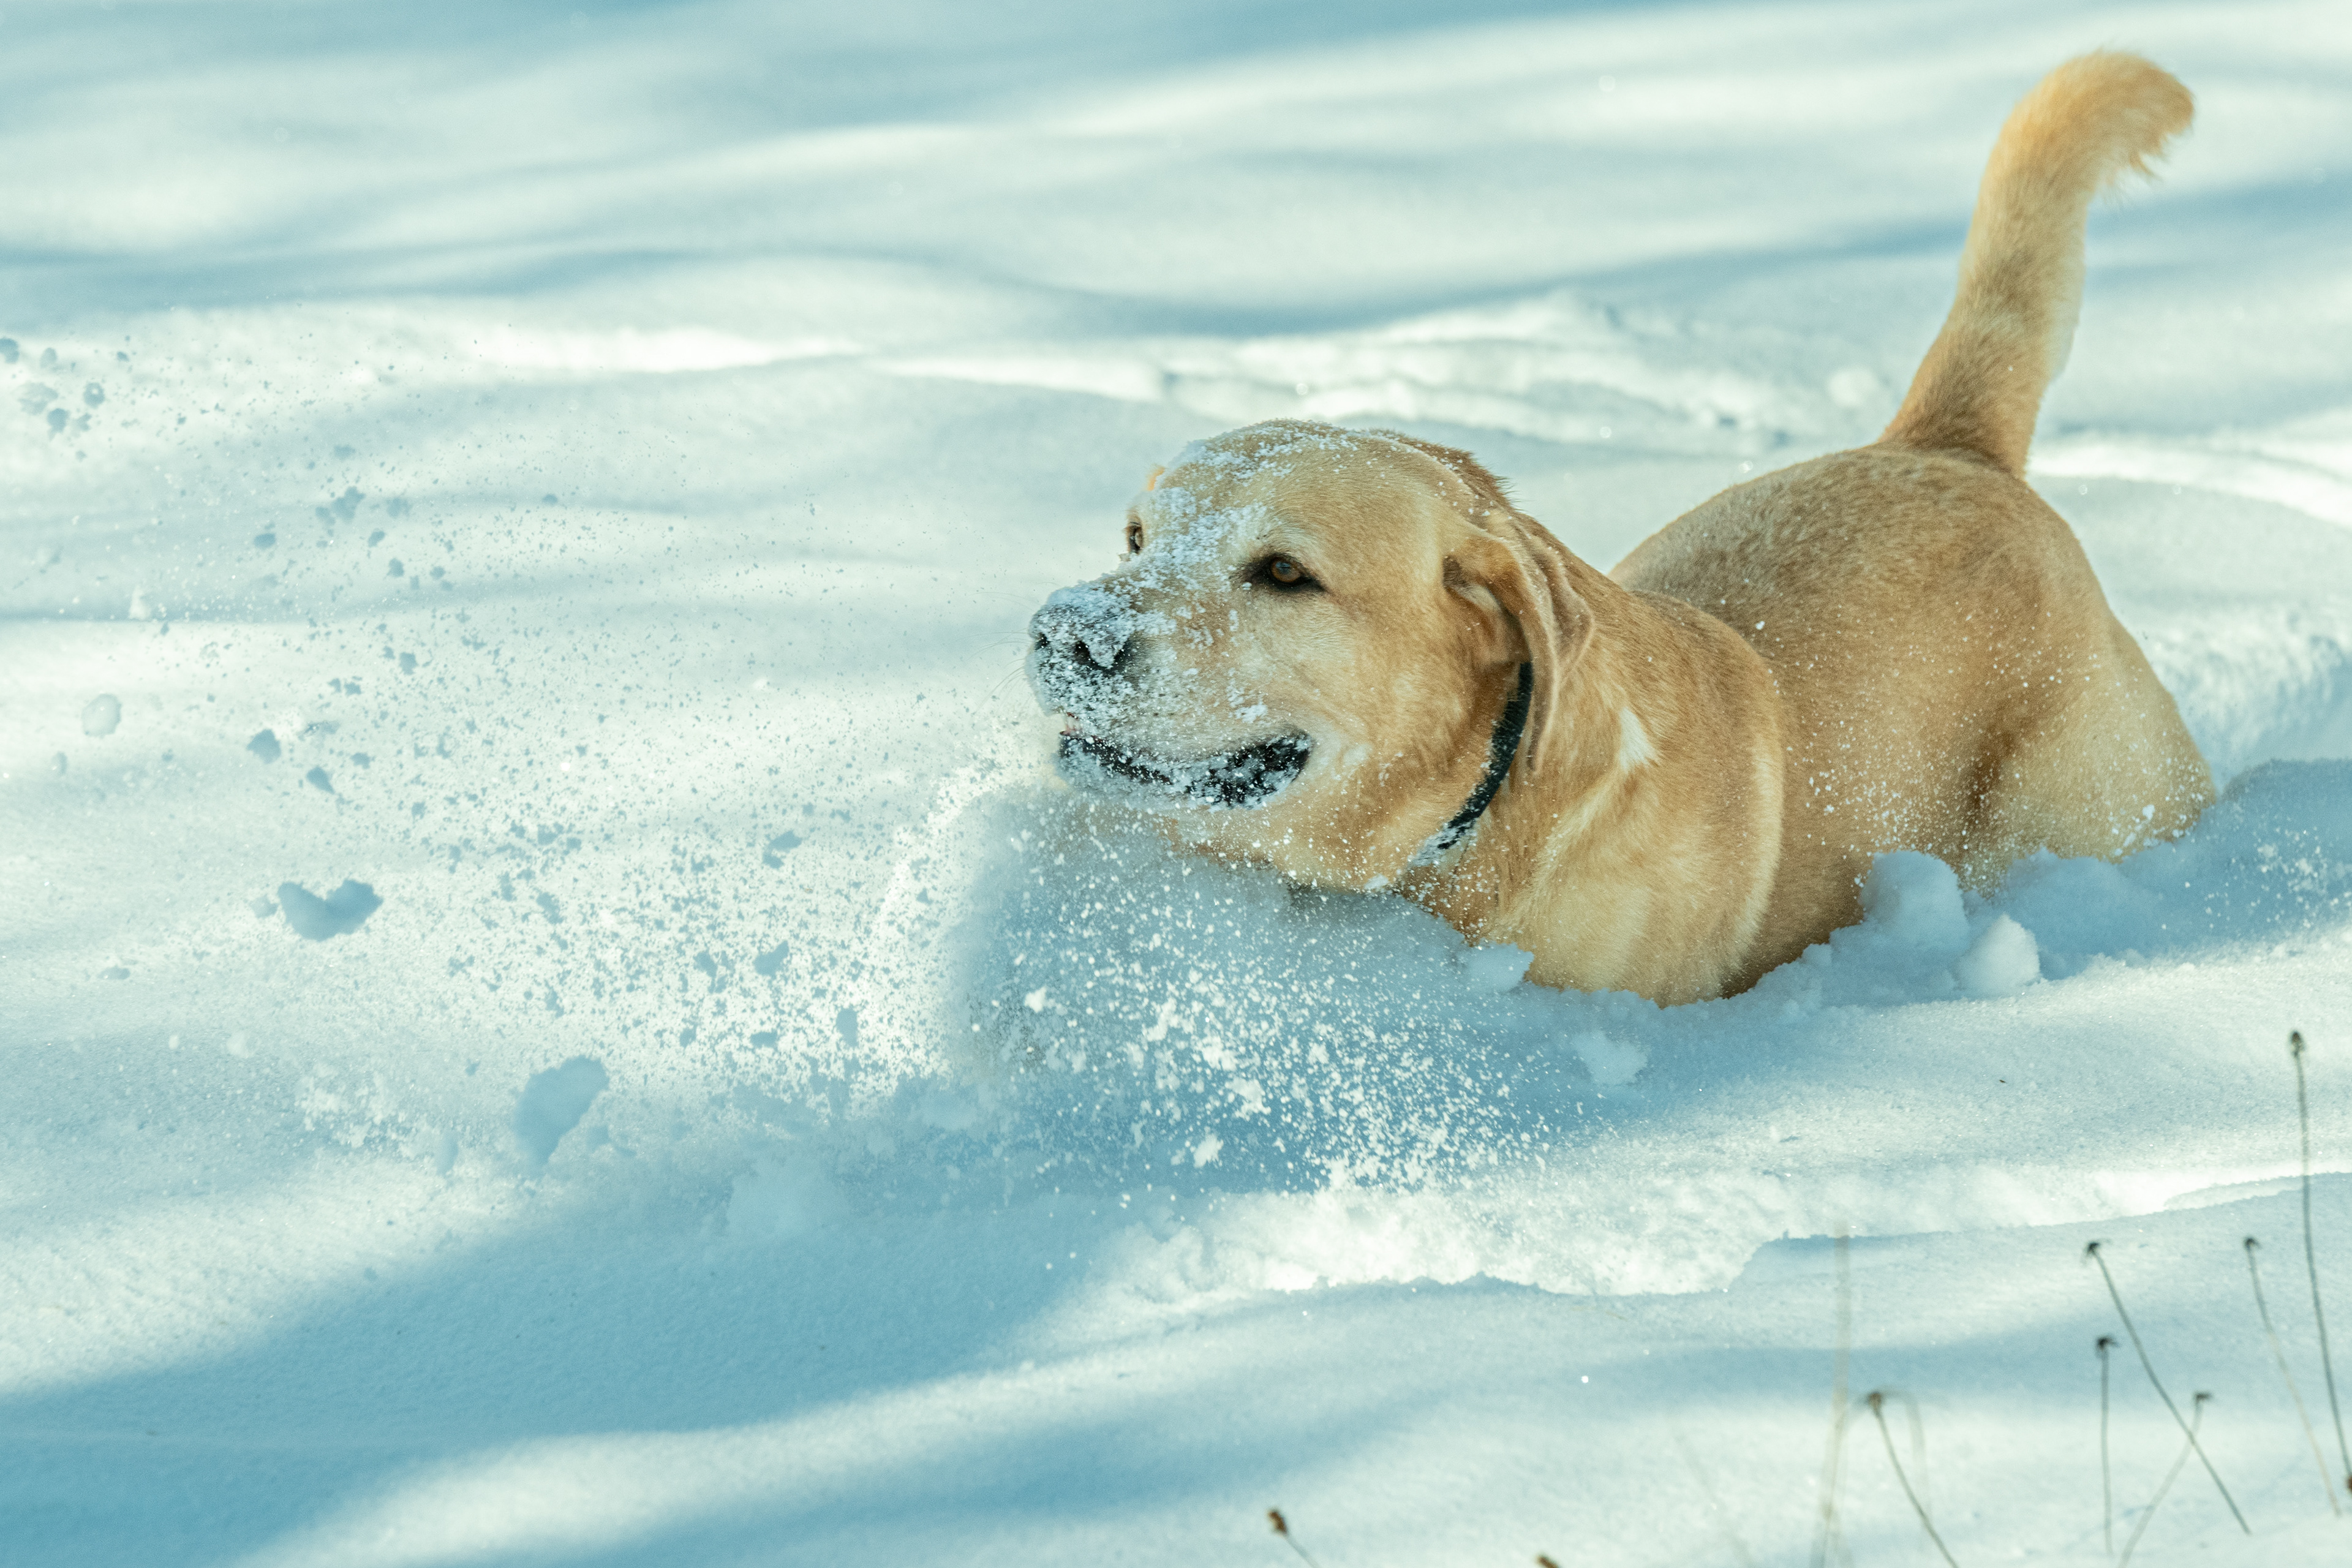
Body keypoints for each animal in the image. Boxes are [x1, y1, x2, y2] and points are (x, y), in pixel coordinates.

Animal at [1026, 52, 2213, 1004]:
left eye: (1283, 572)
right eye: (1137, 538)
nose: (1065, 632)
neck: (1466, 823)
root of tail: (1947, 448)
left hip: (2088, 806)